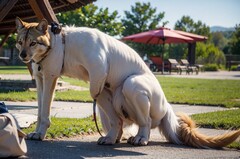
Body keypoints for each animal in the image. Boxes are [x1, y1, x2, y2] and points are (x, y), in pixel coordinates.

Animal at [15, 17, 239, 148]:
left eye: (33, 42)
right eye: (19, 41)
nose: (22, 55)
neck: (60, 44)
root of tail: (168, 108)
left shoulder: (93, 70)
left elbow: (48, 111)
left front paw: (41, 133)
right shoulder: (42, 80)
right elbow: (40, 111)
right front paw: (37, 133)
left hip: (132, 86)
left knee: (144, 121)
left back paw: (140, 138)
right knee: (119, 118)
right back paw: (113, 137)